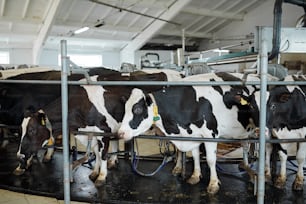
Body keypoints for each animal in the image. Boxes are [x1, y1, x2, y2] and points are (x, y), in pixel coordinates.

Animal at [118, 72, 266, 194]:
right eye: (124, 109)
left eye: (137, 109)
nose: (120, 133)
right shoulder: (193, 135)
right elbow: (195, 156)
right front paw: (195, 176)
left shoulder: (210, 134)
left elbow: (211, 160)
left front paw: (213, 184)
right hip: (245, 132)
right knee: (246, 146)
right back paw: (245, 165)